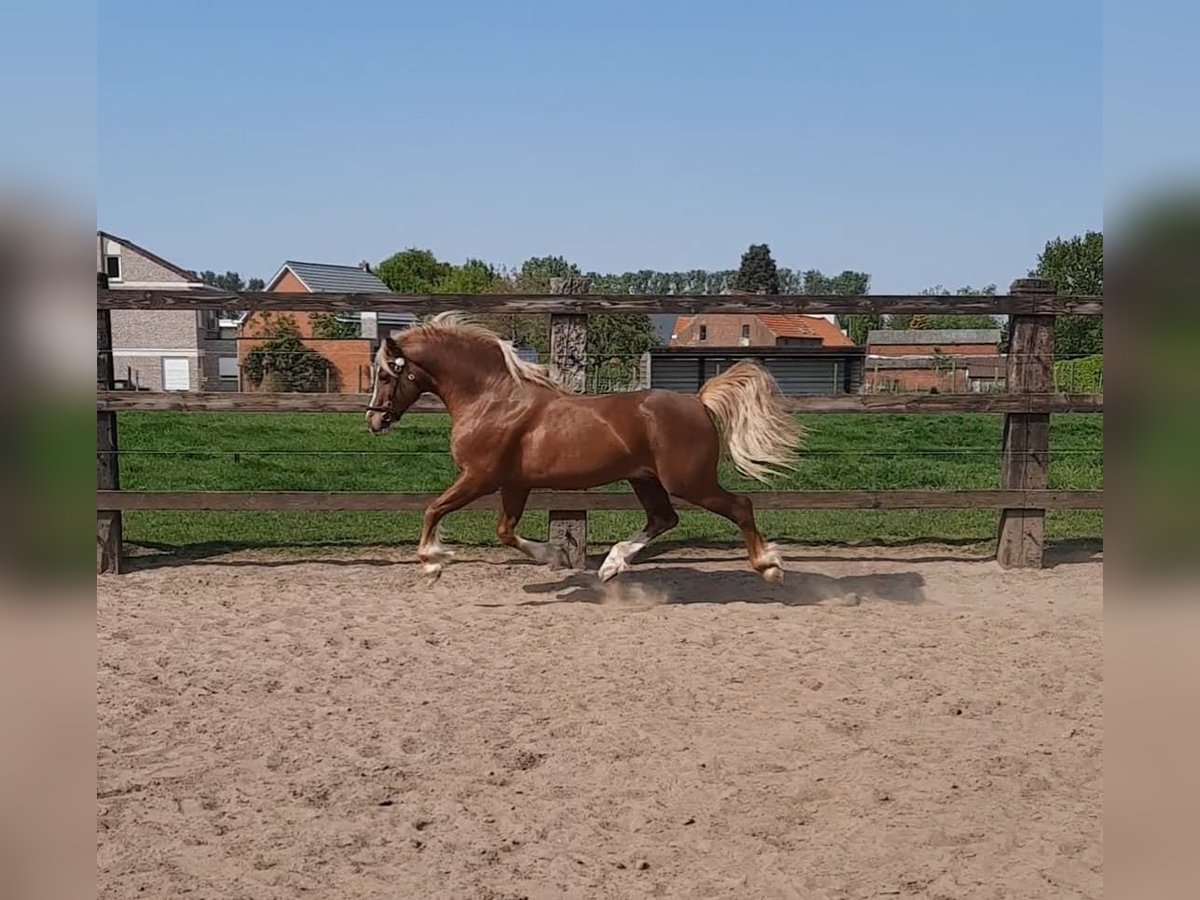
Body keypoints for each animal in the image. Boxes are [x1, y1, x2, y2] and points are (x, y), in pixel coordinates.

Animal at [360, 314, 801, 585]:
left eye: (386, 374)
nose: (375, 421)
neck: (491, 400)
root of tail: (698, 401)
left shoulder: (480, 478)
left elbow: (433, 509)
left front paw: (432, 564)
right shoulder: (514, 484)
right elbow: (505, 531)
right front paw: (555, 555)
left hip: (689, 481)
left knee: (740, 506)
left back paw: (769, 567)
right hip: (645, 480)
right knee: (664, 518)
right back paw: (611, 565)